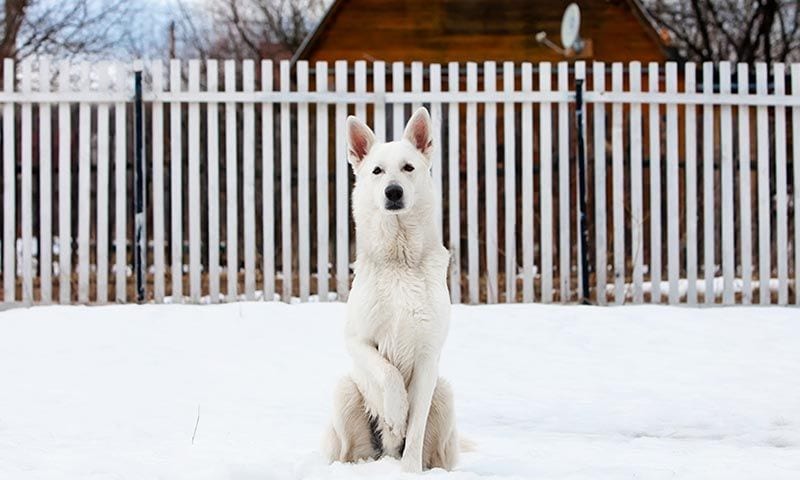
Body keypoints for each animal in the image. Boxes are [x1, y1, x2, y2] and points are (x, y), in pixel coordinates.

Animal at [318, 107, 456, 470]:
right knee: (348, 452)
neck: (399, 261)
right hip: (344, 391)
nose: (393, 192)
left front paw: (409, 471)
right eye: (377, 171)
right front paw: (396, 413)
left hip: (444, 394)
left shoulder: (428, 357)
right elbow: (388, 372)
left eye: (408, 168)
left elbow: (416, 425)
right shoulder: (358, 340)